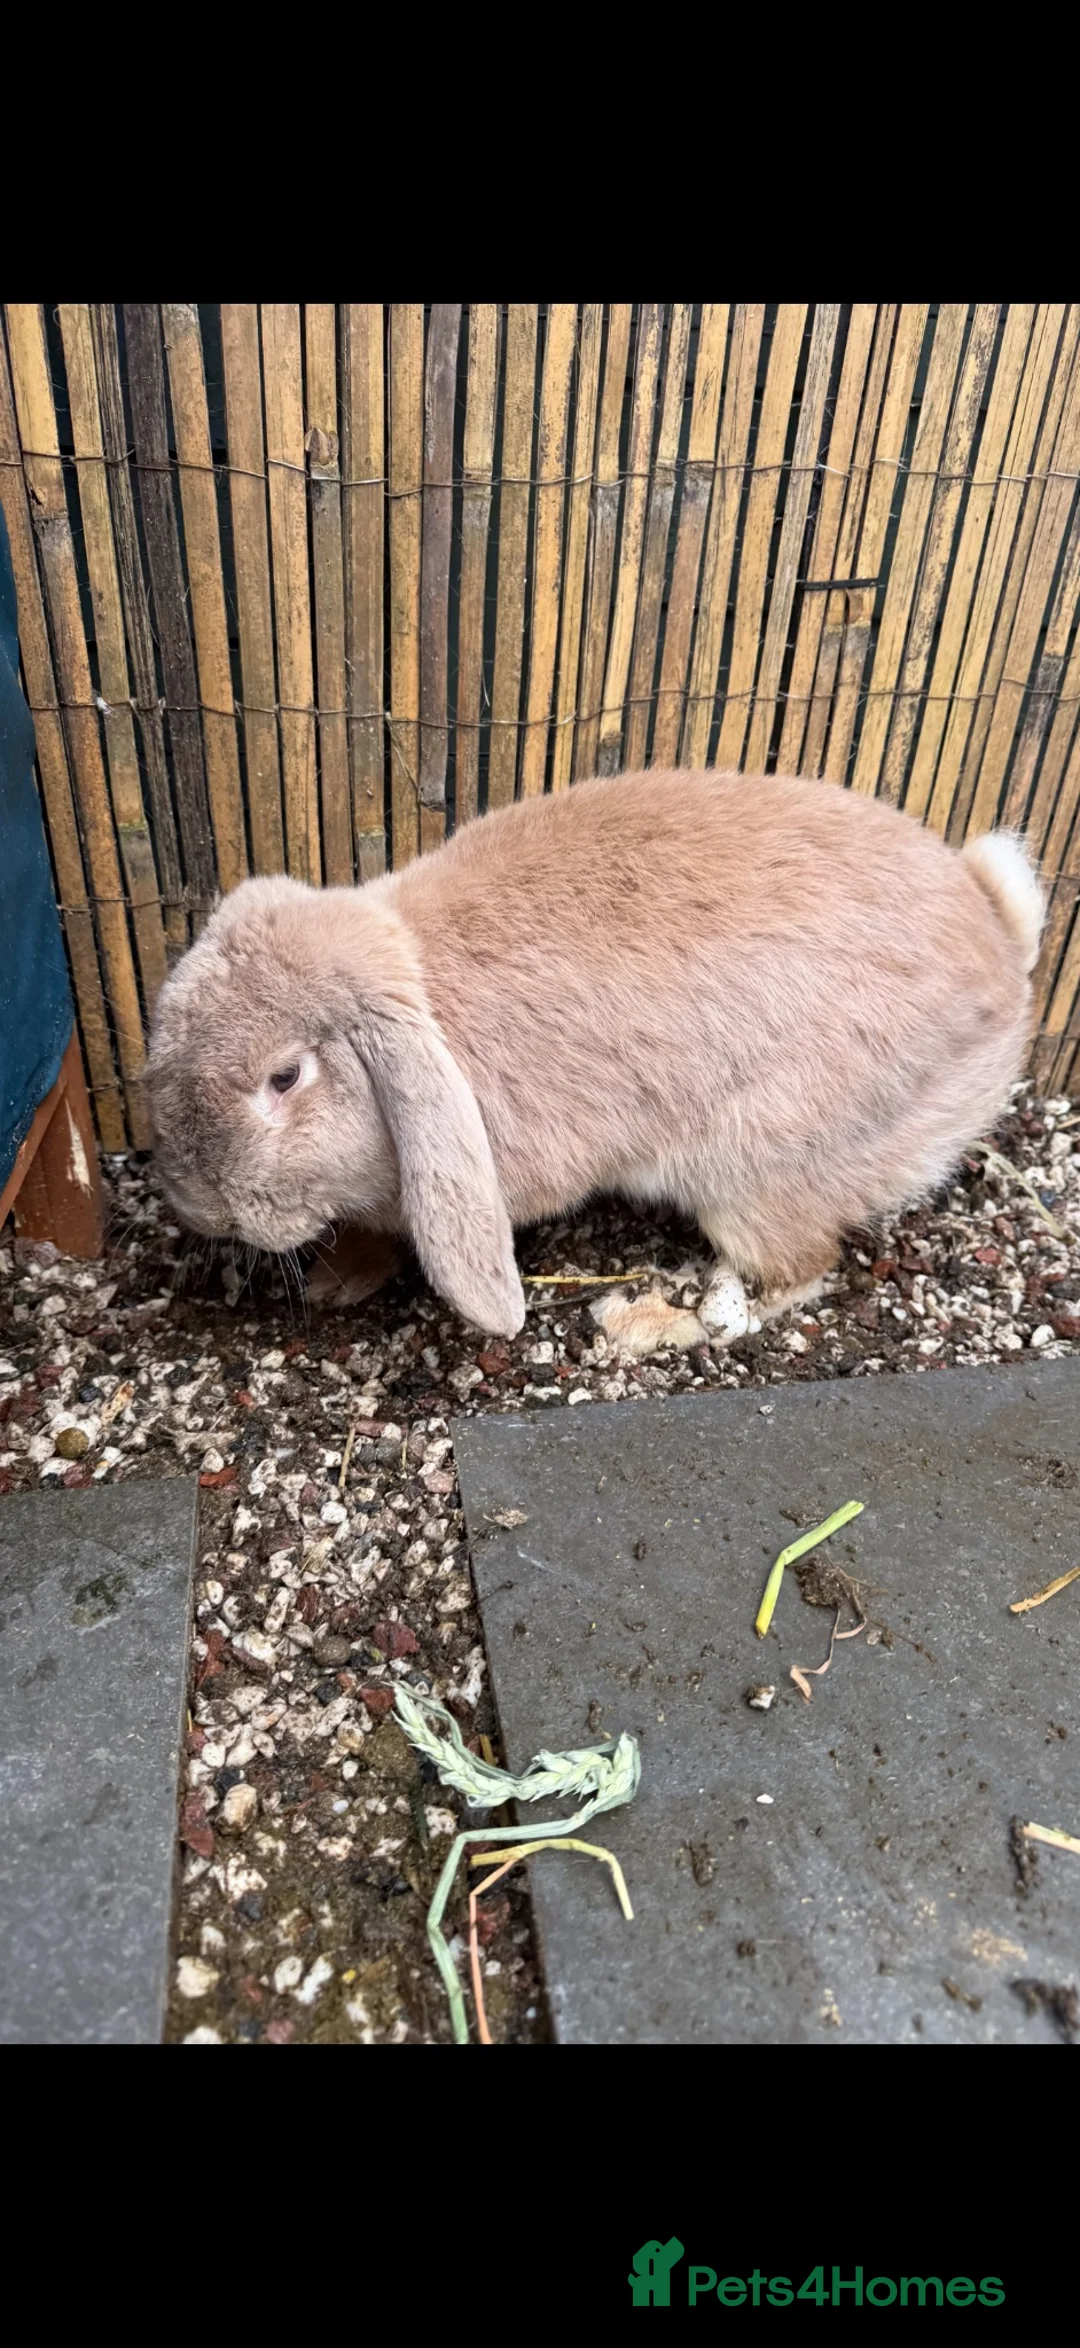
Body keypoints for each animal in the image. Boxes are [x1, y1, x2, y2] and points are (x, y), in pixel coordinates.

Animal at [144, 766, 1045, 1348]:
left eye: (284, 1077)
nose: (195, 1206)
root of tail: (1004, 952)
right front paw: (341, 1279)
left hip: (760, 1170)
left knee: (793, 1272)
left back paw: (664, 1321)